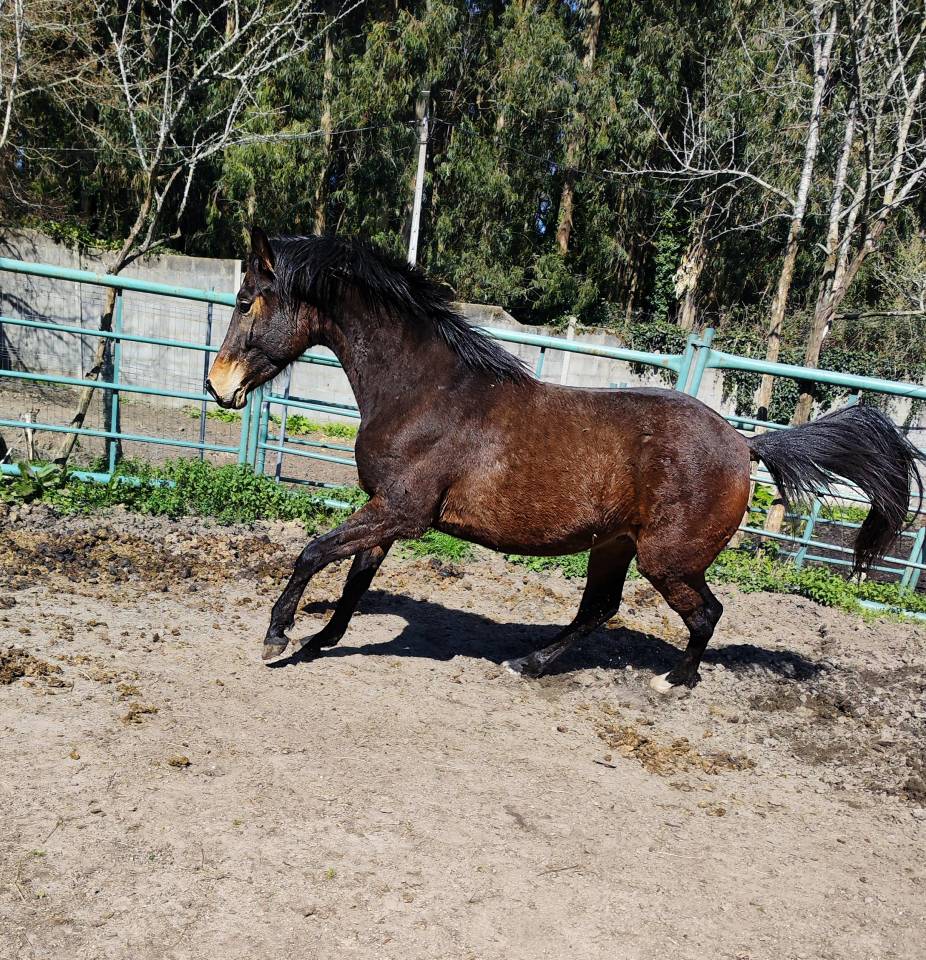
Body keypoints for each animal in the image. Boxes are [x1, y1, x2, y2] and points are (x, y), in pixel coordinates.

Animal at [206, 227, 923, 693]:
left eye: (245, 301)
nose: (219, 385)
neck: (426, 393)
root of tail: (745, 444)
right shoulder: (385, 510)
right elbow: (354, 576)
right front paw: (320, 640)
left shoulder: (403, 513)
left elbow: (313, 552)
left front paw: (277, 638)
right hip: (614, 545)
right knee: (599, 610)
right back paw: (530, 664)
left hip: (668, 559)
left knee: (704, 614)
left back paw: (674, 680)